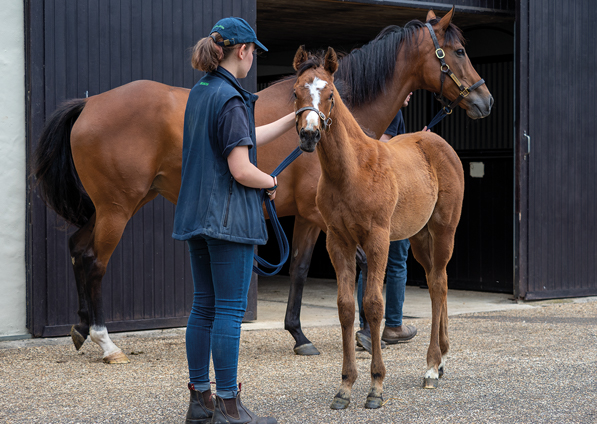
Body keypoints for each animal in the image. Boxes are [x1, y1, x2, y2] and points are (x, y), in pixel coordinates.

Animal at [31, 8, 494, 362]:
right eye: (458, 51)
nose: (485, 100)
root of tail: (89, 103)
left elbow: (328, 268)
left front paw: (337, 333)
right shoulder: (317, 217)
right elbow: (324, 268)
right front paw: (328, 335)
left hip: (119, 204)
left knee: (78, 249)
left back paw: (80, 328)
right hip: (117, 208)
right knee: (95, 261)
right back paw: (106, 342)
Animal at [292, 43, 474, 408]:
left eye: (330, 94)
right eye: (295, 93)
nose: (309, 134)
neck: (352, 170)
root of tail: (438, 142)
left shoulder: (377, 239)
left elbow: (374, 305)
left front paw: (376, 386)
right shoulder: (338, 241)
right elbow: (346, 308)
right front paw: (345, 387)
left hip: (443, 230)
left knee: (438, 285)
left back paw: (431, 367)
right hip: (418, 237)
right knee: (438, 281)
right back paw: (441, 359)